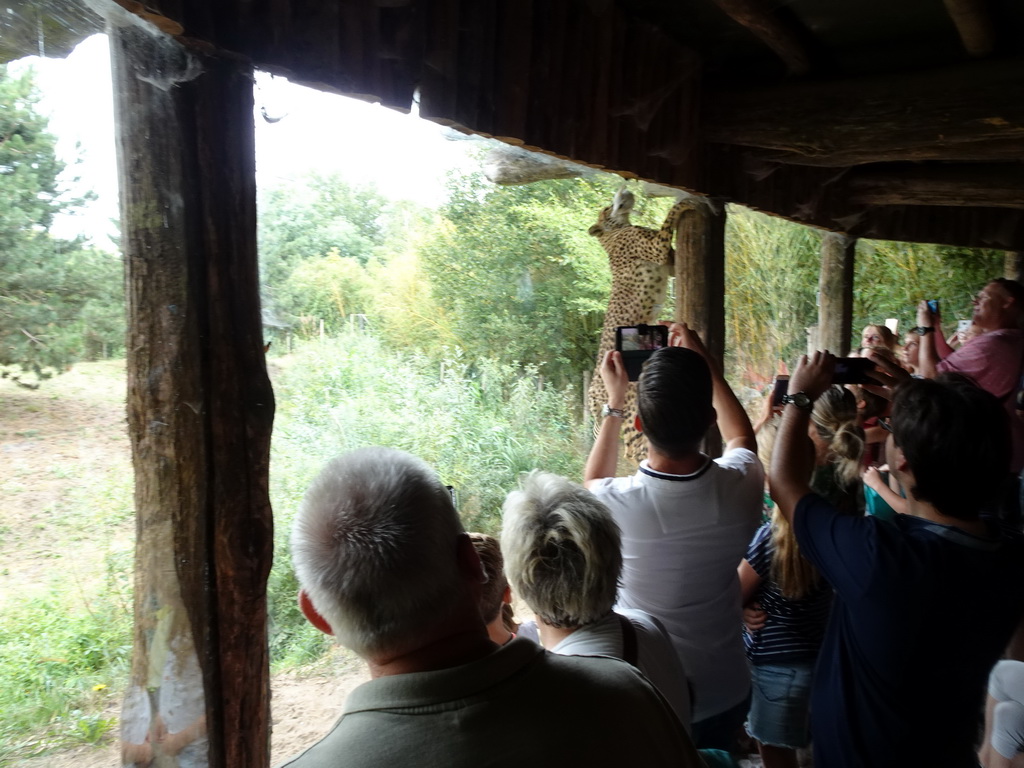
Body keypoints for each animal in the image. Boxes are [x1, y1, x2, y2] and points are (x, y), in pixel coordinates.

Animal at [589, 189, 692, 466]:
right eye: (606, 207)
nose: (623, 190)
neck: (615, 230)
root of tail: (591, 389)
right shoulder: (657, 248)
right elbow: (669, 218)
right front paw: (686, 202)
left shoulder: (669, 262)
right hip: (631, 403)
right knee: (634, 446)